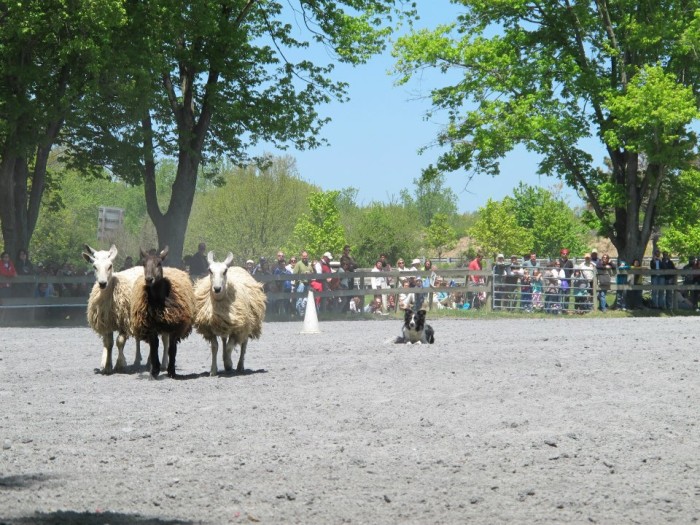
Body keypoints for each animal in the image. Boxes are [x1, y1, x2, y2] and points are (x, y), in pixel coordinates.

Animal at [129, 246, 193, 376]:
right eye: (143, 263)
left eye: (159, 263)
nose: (149, 279)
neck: (159, 300)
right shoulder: (151, 326)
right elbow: (154, 346)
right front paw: (155, 369)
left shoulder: (174, 326)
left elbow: (172, 348)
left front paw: (171, 370)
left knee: (166, 342)